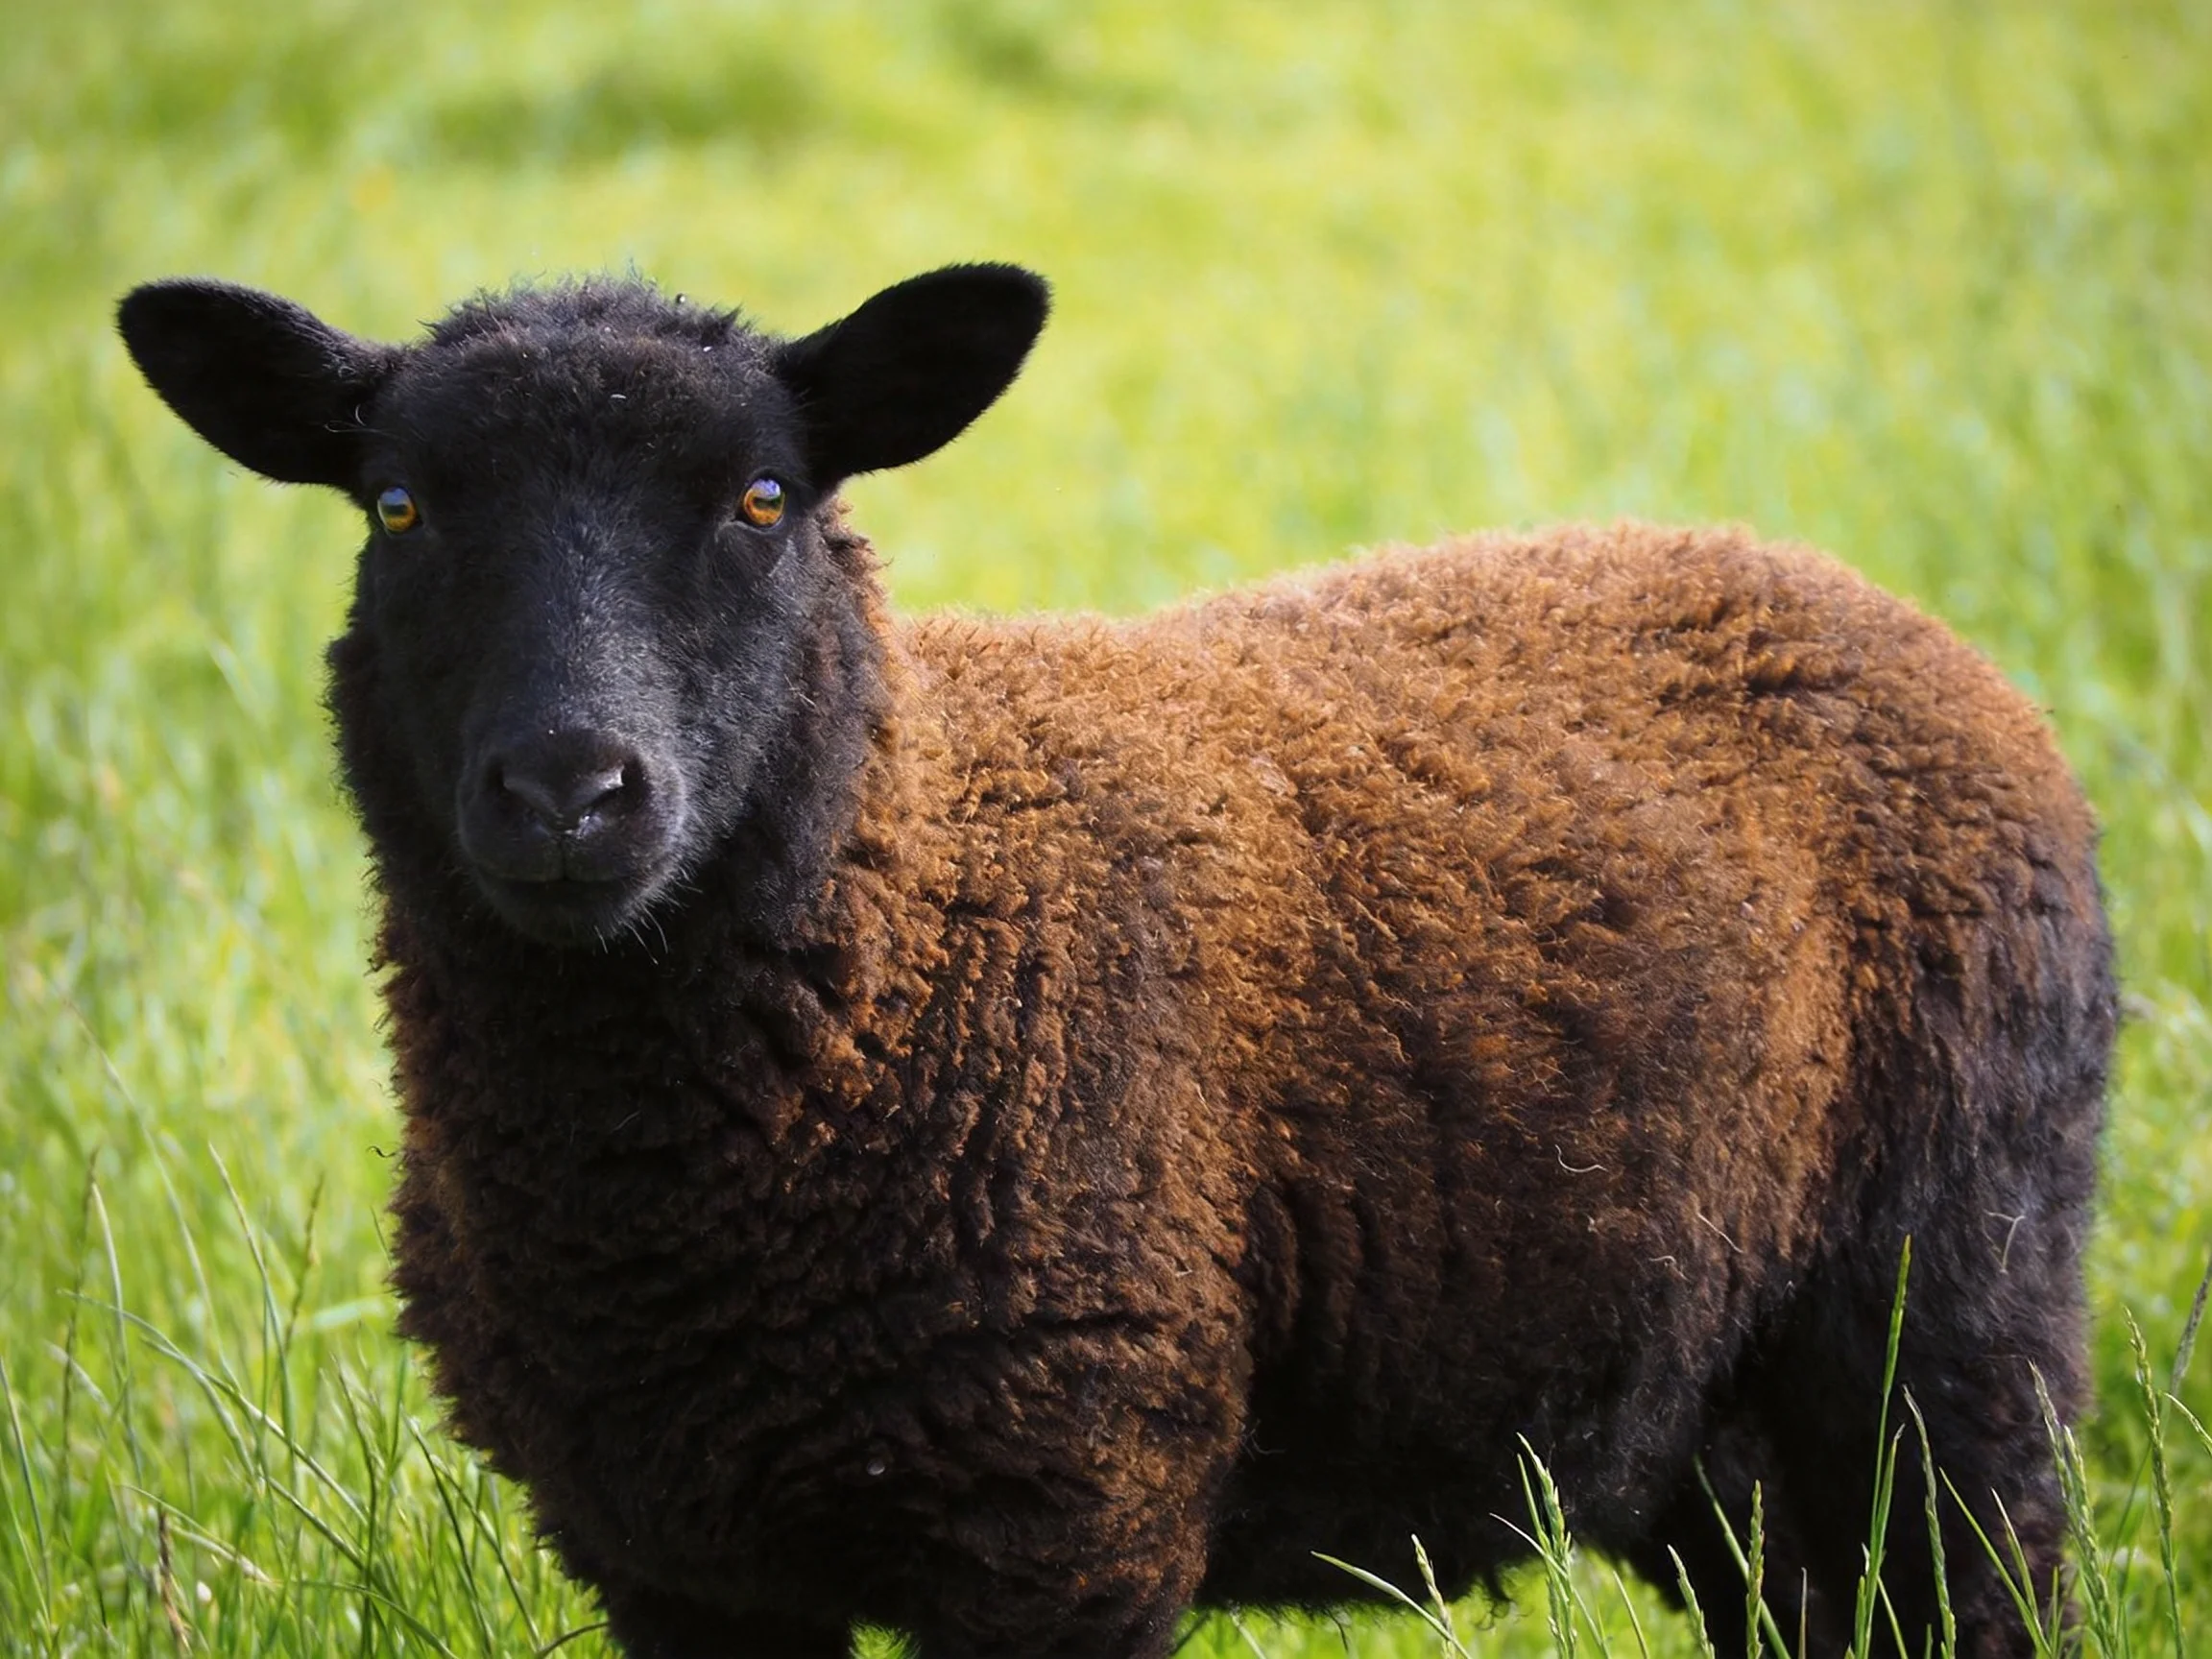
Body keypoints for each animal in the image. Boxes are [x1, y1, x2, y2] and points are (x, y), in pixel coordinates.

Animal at [116, 264, 2115, 1659]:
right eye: (396, 508)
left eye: (764, 498)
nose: (566, 792)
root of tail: (1862, 604)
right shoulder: (672, 1554)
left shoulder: (1063, 1516)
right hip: (1701, 1397)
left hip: (1948, 1298)